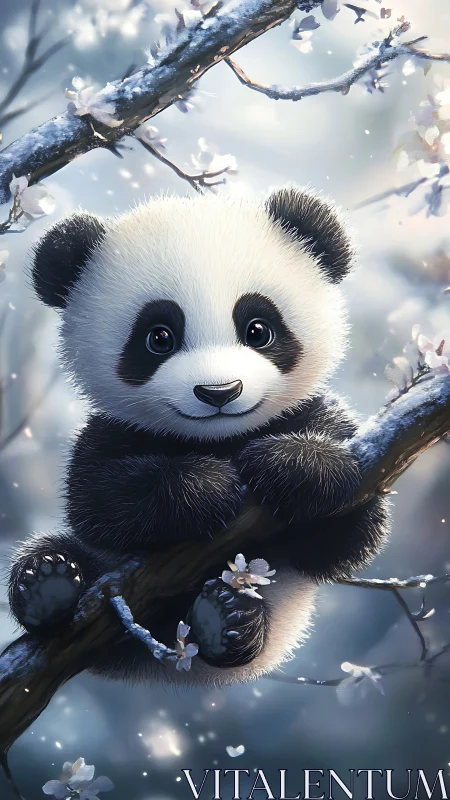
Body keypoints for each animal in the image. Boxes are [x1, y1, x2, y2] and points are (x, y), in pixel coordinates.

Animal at [9, 186, 389, 687]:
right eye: (158, 338)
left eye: (258, 330)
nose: (219, 391)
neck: (218, 439)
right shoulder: (111, 433)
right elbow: (100, 498)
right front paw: (208, 487)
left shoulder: (321, 418)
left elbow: (349, 532)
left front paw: (292, 466)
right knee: (64, 553)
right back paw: (45, 584)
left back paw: (227, 620)